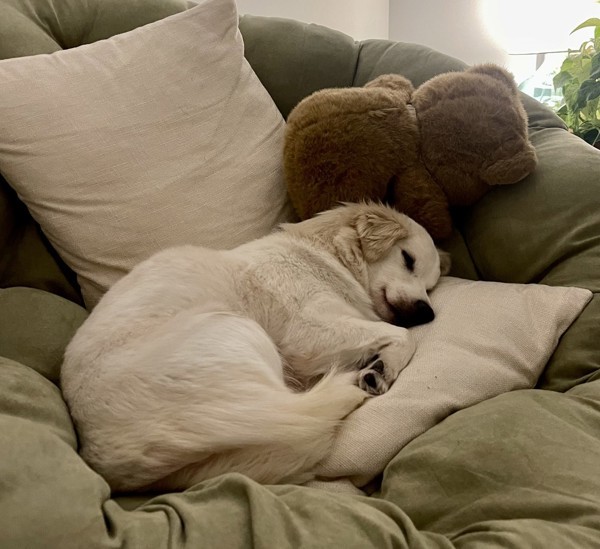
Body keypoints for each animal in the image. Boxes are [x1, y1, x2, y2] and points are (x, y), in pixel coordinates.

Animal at [61, 202, 450, 492]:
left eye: (431, 286)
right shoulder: (308, 333)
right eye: (408, 259)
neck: (324, 256)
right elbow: (402, 335)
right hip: (238, 328)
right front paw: (384, 367)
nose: (427, 312)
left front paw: (381, 364)